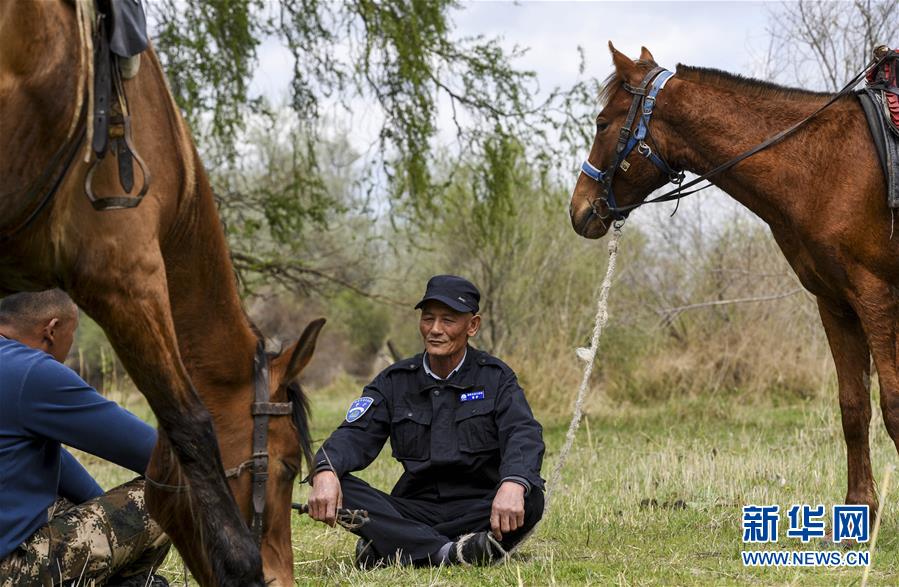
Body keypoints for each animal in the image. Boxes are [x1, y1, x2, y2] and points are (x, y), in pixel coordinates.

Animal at [572, 43, 896, 516]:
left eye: (601, 123)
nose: (579, 209)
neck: (826, 165)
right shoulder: (837, 304)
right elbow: (854, 407)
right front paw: (860, 508)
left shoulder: (876, 298)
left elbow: (893, 406)